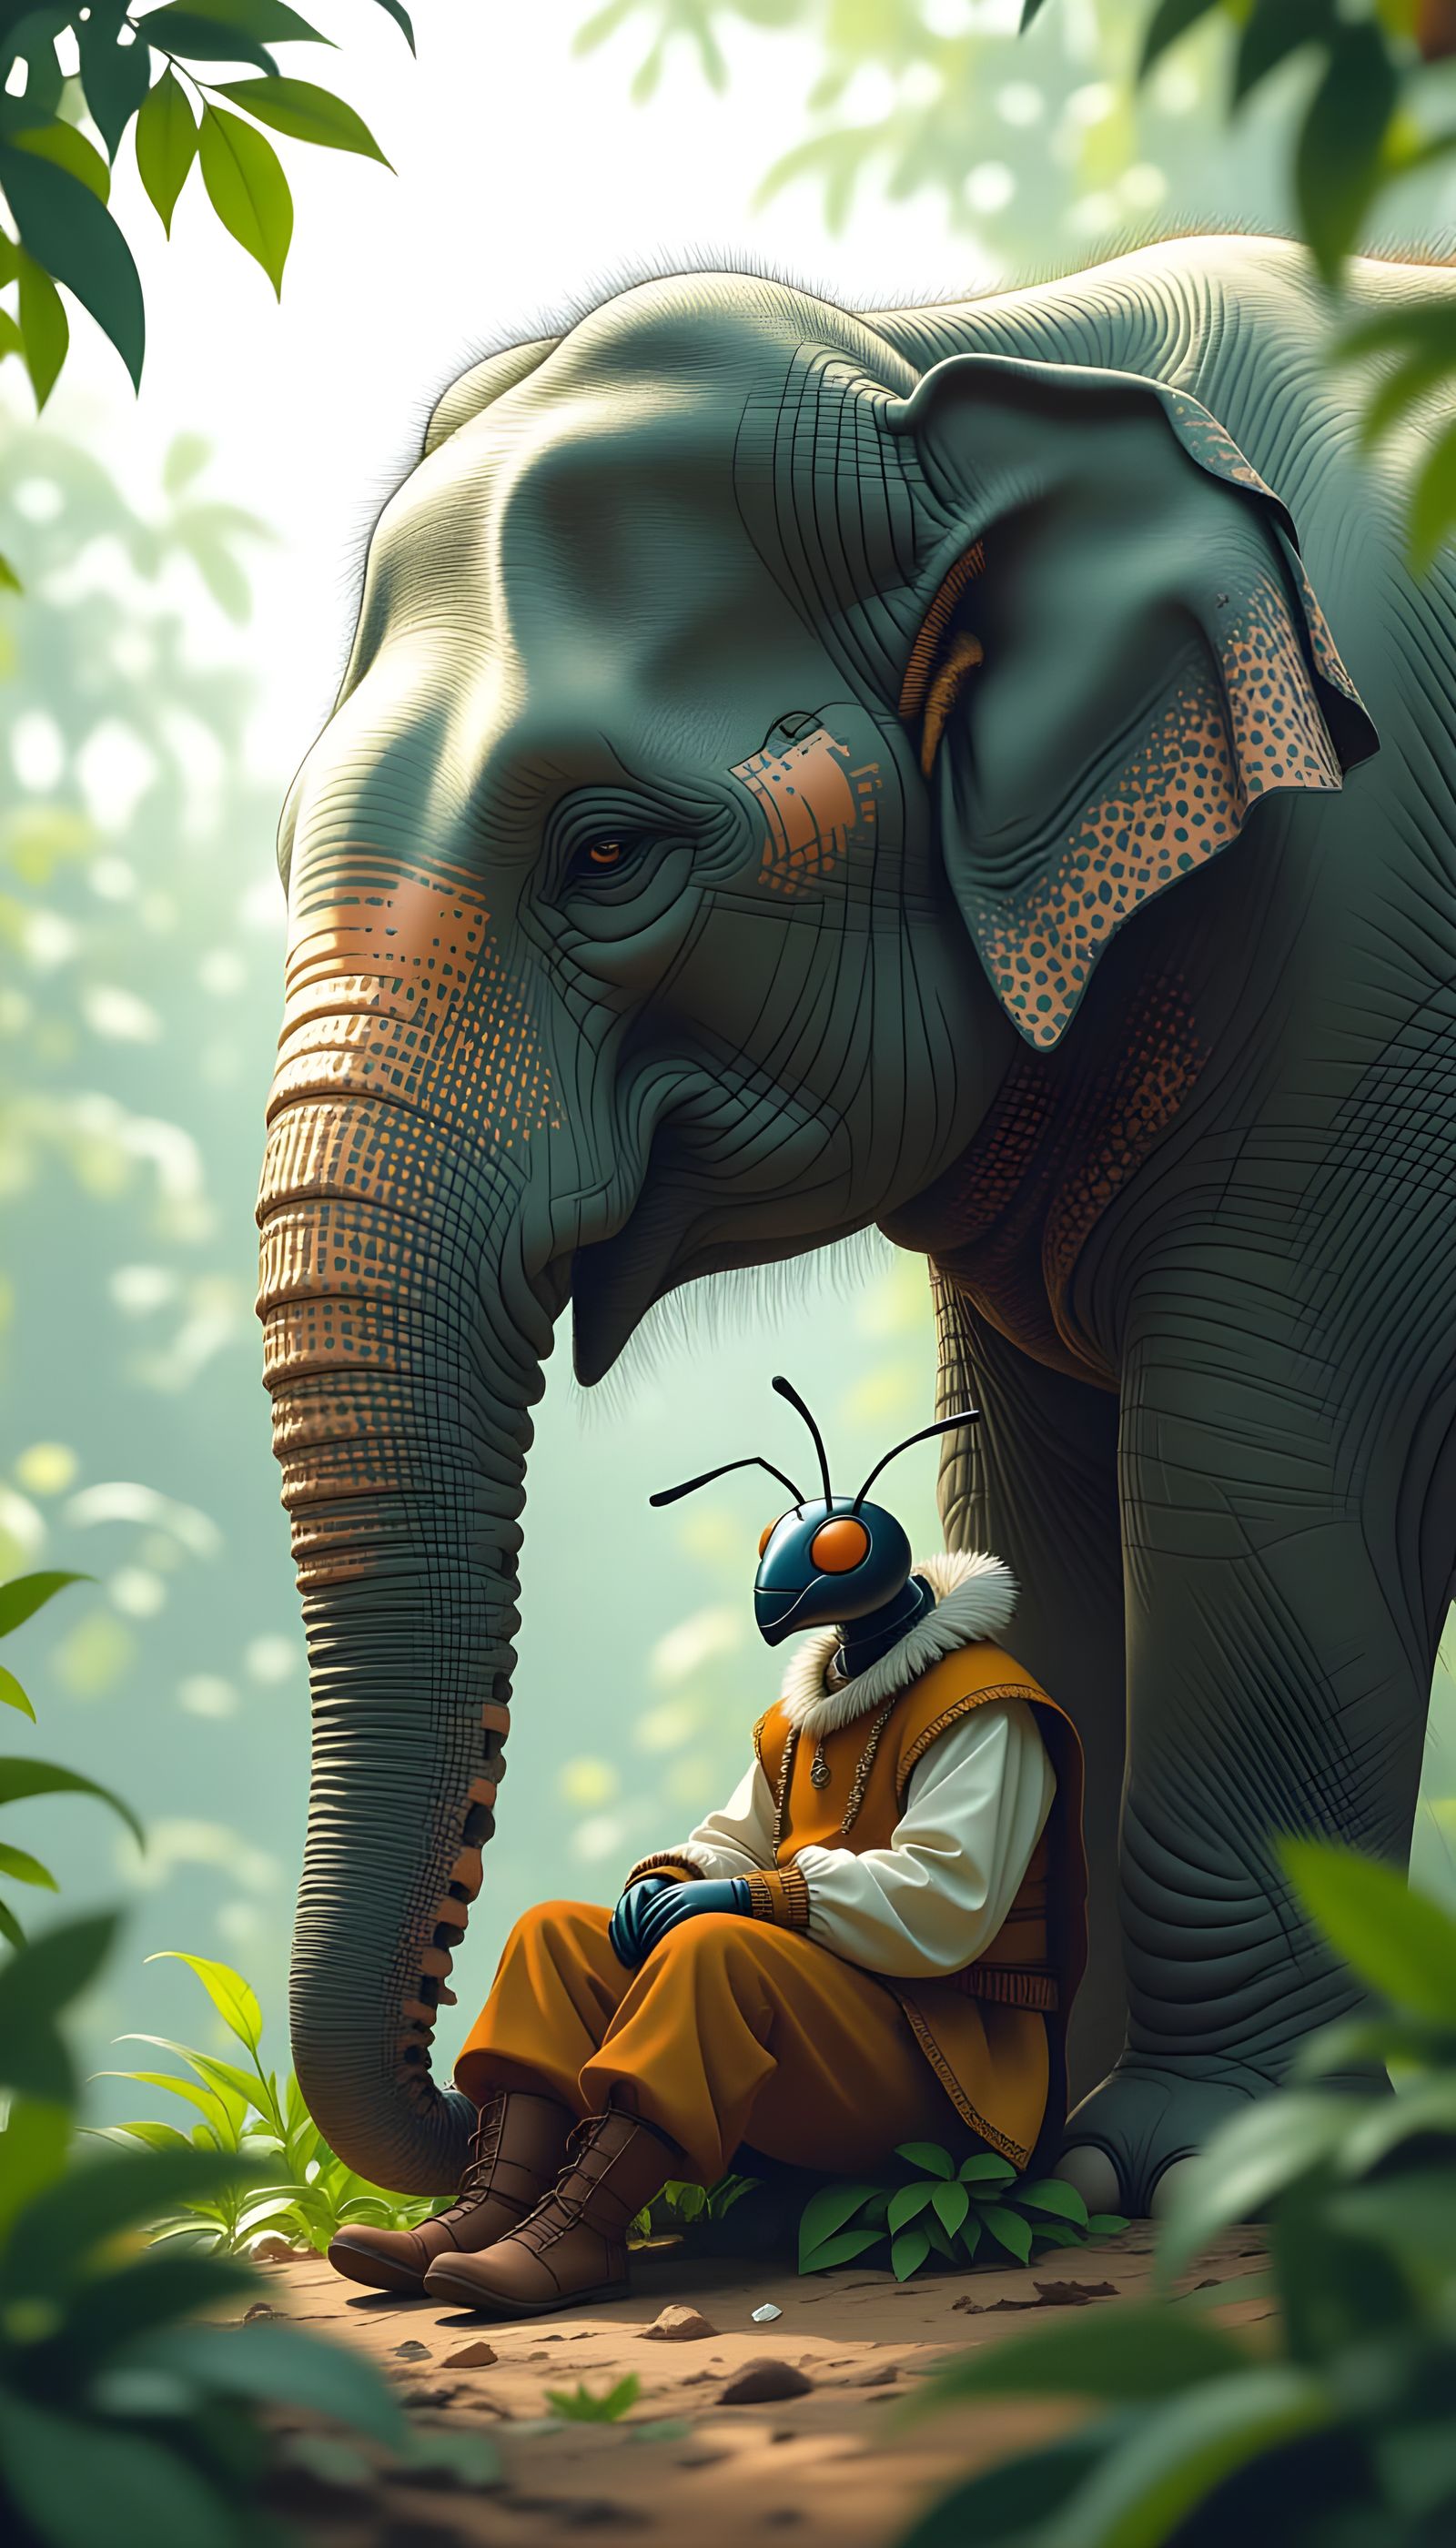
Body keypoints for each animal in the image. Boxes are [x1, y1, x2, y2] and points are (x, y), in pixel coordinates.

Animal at [256, 231, 1456, 2217]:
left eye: (604, 854)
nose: (434, 2123)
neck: (948, 364)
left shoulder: (1363, 978)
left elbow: (1261, 1492)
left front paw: (1188, 2162)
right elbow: (1033, 1502)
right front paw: (1033, 2144)